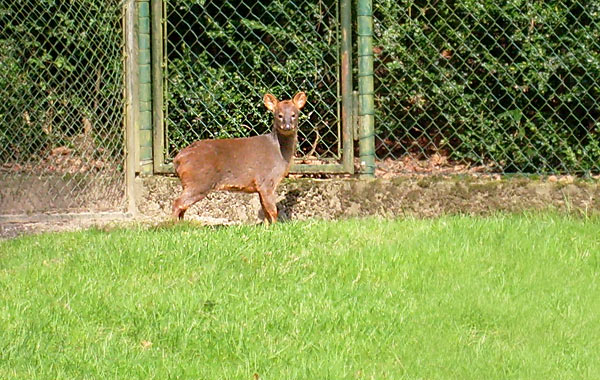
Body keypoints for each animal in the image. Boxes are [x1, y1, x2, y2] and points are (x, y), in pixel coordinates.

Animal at [171, 91, 308, 223]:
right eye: (279, 115)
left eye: (294, 114)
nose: (288, 126)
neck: (280, 154)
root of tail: (177, 159)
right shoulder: (266, 180)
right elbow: (273, 211)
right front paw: (275, 227)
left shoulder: (261, 186)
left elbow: (265, 212)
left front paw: (266, 227)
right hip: (199, 181)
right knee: (177, 203)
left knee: (182, 207)